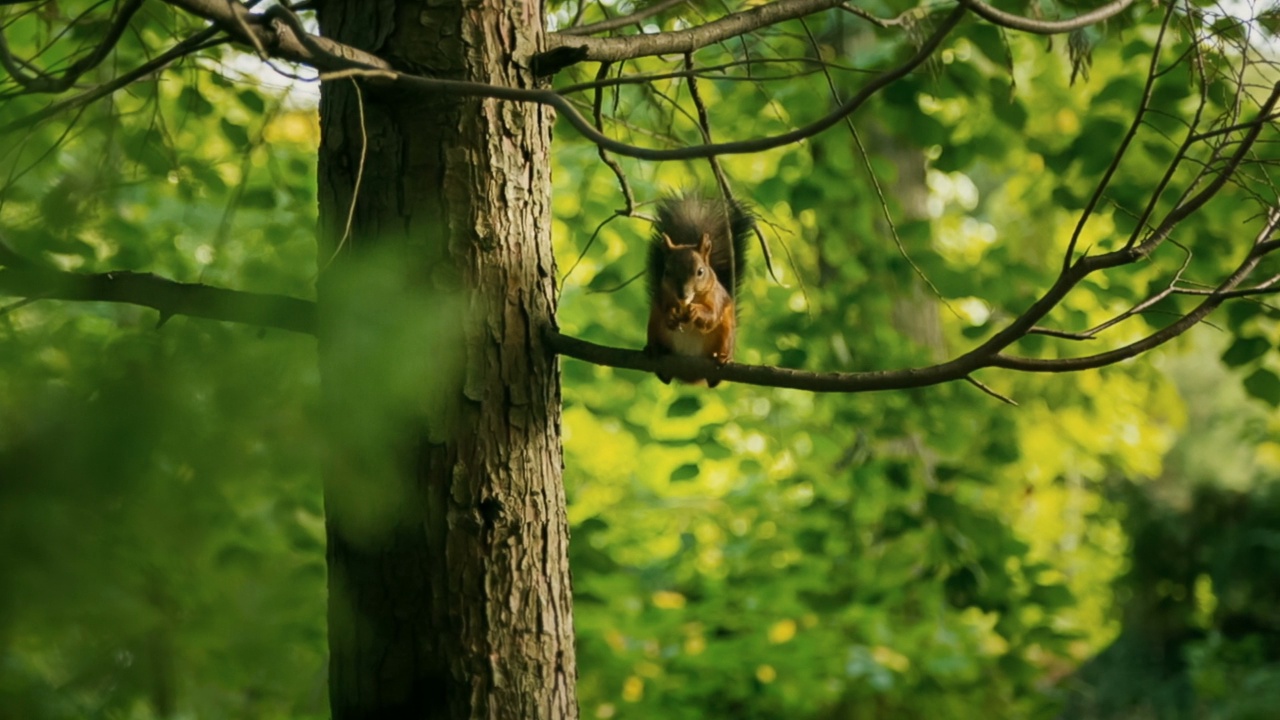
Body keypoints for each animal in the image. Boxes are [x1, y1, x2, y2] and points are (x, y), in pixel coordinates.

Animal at [650, 192, 747, 386]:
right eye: (667, 271)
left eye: (700, 272)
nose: (682, 294)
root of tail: (690, 377)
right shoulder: (662, 295)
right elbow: (664, 309)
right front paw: (671, 315)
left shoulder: (716, 297)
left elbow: (712, 316)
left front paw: (696, 311)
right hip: (653, 324)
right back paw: (656, 350)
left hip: (726, 334)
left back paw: (723, 358)